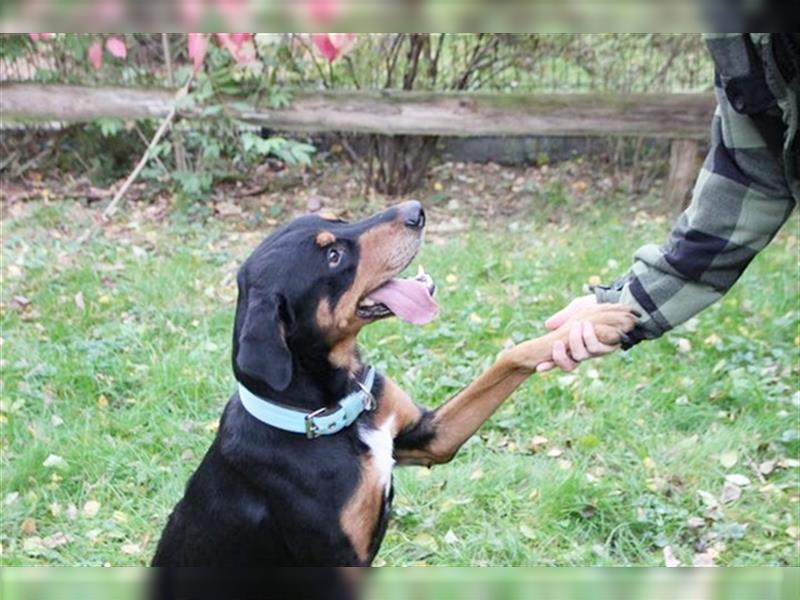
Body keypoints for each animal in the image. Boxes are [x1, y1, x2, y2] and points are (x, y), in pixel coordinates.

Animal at [152, 200, 636, 568]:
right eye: (333, 257)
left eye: (336, 218)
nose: (416, 210)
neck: (326, 412)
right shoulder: (339, 561)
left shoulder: (430, 436)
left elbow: (508, 357)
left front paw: (595, 320)